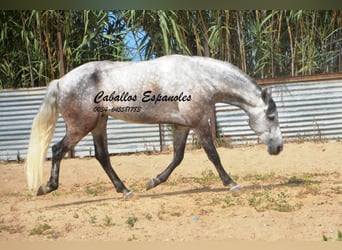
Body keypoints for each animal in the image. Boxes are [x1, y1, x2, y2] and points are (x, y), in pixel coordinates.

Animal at [25, 54, 284, 197]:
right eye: (272, 116)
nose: (279, 148)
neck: (200, 77)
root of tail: (61, 81)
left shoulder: (183, 126)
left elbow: (178, 157)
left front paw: (153, 182)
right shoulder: (200, 123)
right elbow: (213, 155)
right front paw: (232, 184)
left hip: (99, 123)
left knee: (102, 156)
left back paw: (126, 191)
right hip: (81, 126)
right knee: (58, 149)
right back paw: (46, 187)